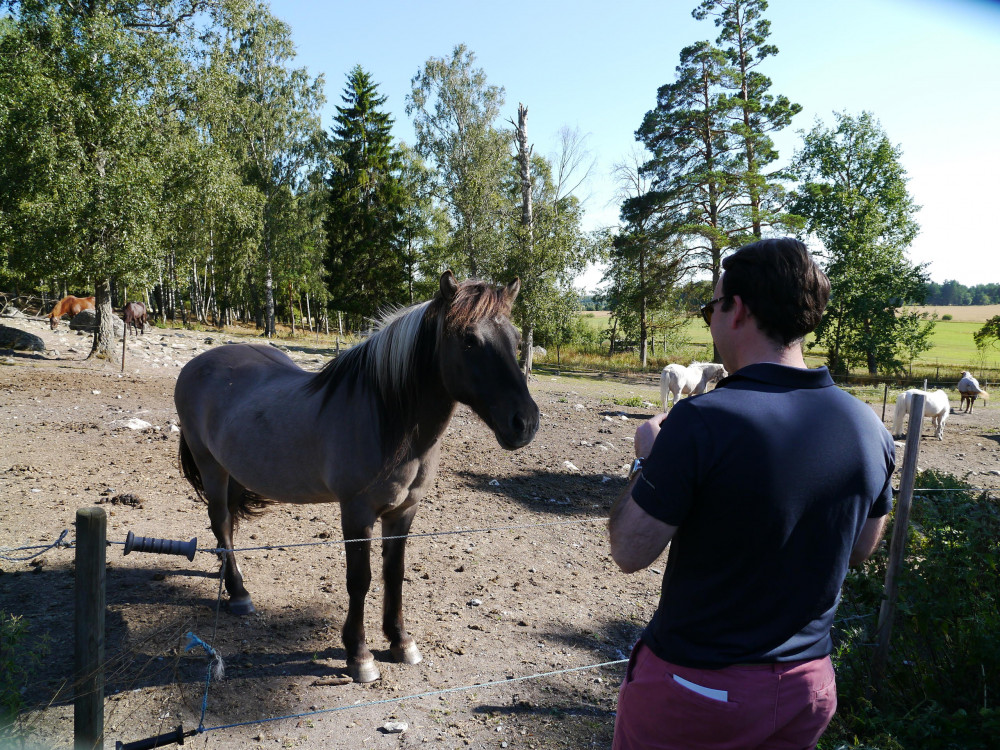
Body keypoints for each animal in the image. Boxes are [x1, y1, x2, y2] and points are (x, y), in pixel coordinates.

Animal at [176, 274, 544, 684]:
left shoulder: (403, 511)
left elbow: (394, 573)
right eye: (469, 339)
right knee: (221, 522)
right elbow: (360, 579)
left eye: (516, 339)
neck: (386, 417)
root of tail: (198, 363)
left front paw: (401, 642)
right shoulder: (356, 512)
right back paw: (239, 594)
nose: (525, 422)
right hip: (211, 466)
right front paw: (359, 654)